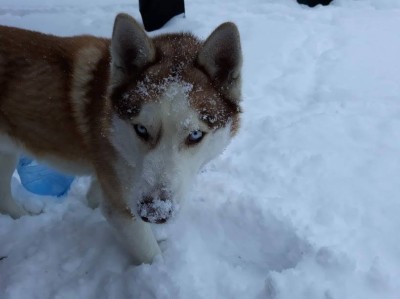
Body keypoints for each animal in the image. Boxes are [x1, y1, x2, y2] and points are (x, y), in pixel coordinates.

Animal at [0, 13, 242, 264]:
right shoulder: (121, 208)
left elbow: (94, 197)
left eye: (195, 134)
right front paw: (158, 266)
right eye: (141, 129)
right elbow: (150, 253)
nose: (154, 212)